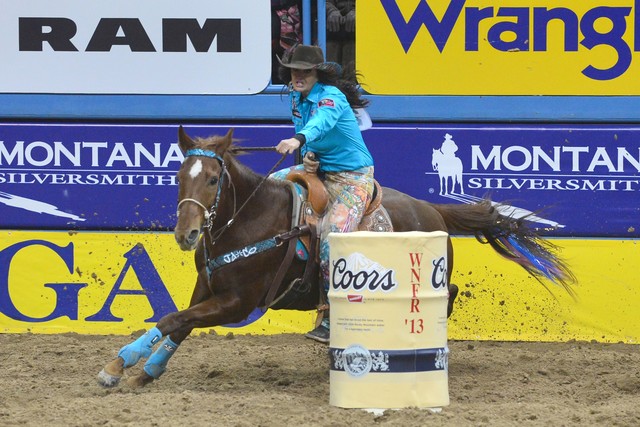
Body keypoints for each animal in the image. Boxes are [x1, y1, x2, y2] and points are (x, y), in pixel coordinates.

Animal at [97, 127, 575, 388]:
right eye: (180, 176)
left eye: (214, 179)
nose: (187, 233)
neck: (249, 218)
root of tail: (432, 208)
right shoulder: (207, 287)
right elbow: (179, 323)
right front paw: (144, 370)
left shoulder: (238, 303)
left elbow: (171, 319)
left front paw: (118, 364)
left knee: (448, 293)